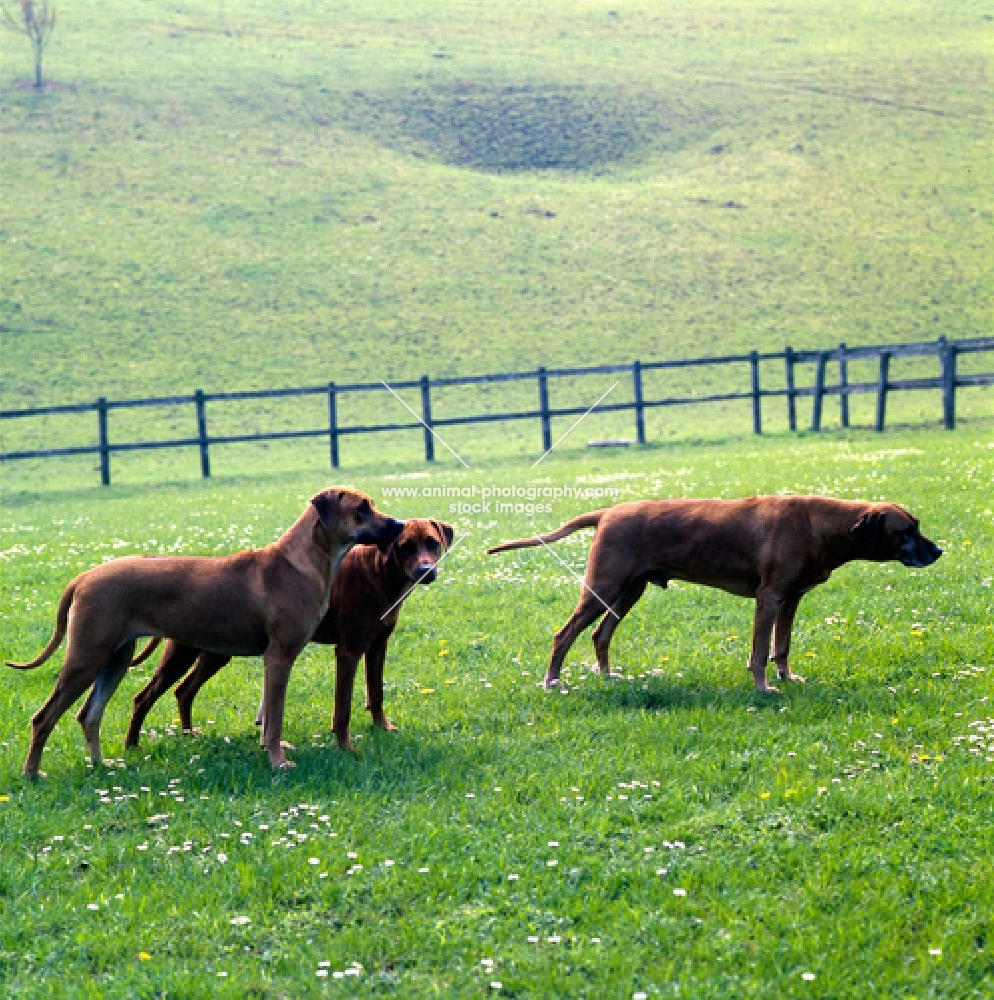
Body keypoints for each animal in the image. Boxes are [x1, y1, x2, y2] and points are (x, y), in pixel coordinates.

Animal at [6, 484, 404, 772]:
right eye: (362, 507)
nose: (398, 525)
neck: (302, 562)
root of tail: (83, 577)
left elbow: (268, 718)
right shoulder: (280, 656)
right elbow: (274, 719)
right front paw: (278, 762)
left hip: (114, 659)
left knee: (89, 715)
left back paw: (103, 766)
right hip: (86, 658)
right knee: (44, 718)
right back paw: (32, 774)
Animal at [124, 520, 454, 752]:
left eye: (432, 543)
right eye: (405, 546)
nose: (426, 570)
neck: (379, 573)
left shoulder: (377, 646)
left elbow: (377, 692)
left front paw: (382, 727)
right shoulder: (348, 650)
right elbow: (343, 707)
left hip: (215, 651)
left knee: (183, 691)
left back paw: (189, 735)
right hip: (183, 651)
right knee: (144, 697)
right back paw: (133, 745)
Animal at [488, 496, 936, 692]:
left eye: (917, 526)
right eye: (905, 531)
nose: (939, 551)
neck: (818, 523)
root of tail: (607, 512)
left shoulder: (792, 599)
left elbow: (782, 646)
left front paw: (787, 677)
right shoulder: (770, 598)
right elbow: (760, 651)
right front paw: (764, 689)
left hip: (628, 591)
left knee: (600, 635)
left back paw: (608, 676)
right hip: (603, 587)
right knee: (564, 635)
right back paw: (552, 682)